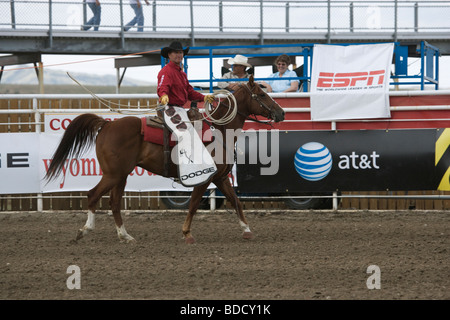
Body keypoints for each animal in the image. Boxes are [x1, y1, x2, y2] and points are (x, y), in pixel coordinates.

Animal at [45, 76, 284, 244]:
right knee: (93, 195)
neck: (220, 130)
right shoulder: (205, 179)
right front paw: (187, 233)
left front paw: (247, 230)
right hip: (113, 174)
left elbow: (236, 202)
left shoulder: (220, 178)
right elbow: (194, 204)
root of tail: (106, 125)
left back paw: (125, 236)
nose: (281, 113)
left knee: (114, 202)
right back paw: (85, 230)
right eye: (262, 95)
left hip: (121, 175)